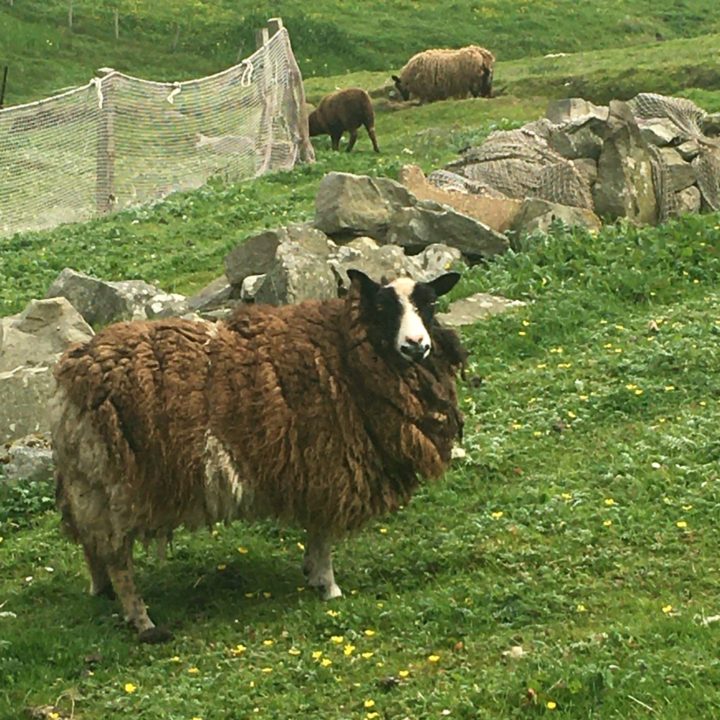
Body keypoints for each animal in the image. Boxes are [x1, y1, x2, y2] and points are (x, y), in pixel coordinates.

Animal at [52, 270, 466, 640]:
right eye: (382, 307)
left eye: (429, 304)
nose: (416, 345)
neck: (342, 348)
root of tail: (74, 371)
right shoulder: (328, 463)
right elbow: (323, 534)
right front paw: (328, 586)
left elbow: (316, 533)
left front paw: (312, 573)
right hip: (118, 484)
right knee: (118, 559)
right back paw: (142, 621)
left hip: (89, 482)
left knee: (92, 542)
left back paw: (101, 590)